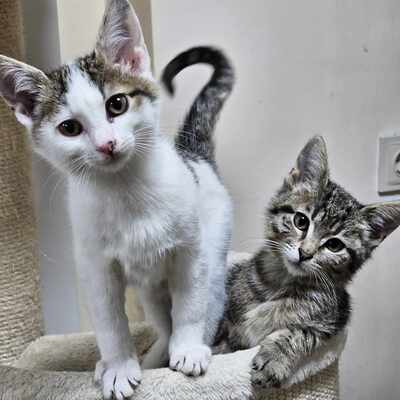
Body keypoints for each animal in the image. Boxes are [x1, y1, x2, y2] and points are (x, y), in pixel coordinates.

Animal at [0, 1, 234, 398]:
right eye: (69, 128)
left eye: (118, 104)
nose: (106, 144)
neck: (125, 191)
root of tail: (194, 153)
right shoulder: (96, 266)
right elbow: (110, 323)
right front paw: (119, 366)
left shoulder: (190, 252)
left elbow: (190, 306)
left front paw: (188, 350)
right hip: (150, 288)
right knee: (161, 318)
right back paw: (153, 357)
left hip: (213, 254)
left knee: (207, 301)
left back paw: (194, 347)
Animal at [220, 137, 400, 388]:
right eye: (300, 221)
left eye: (334, 245)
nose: (305, 253)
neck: (284, 284)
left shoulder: (336, 319)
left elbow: (300, 332)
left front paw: (274, 359)